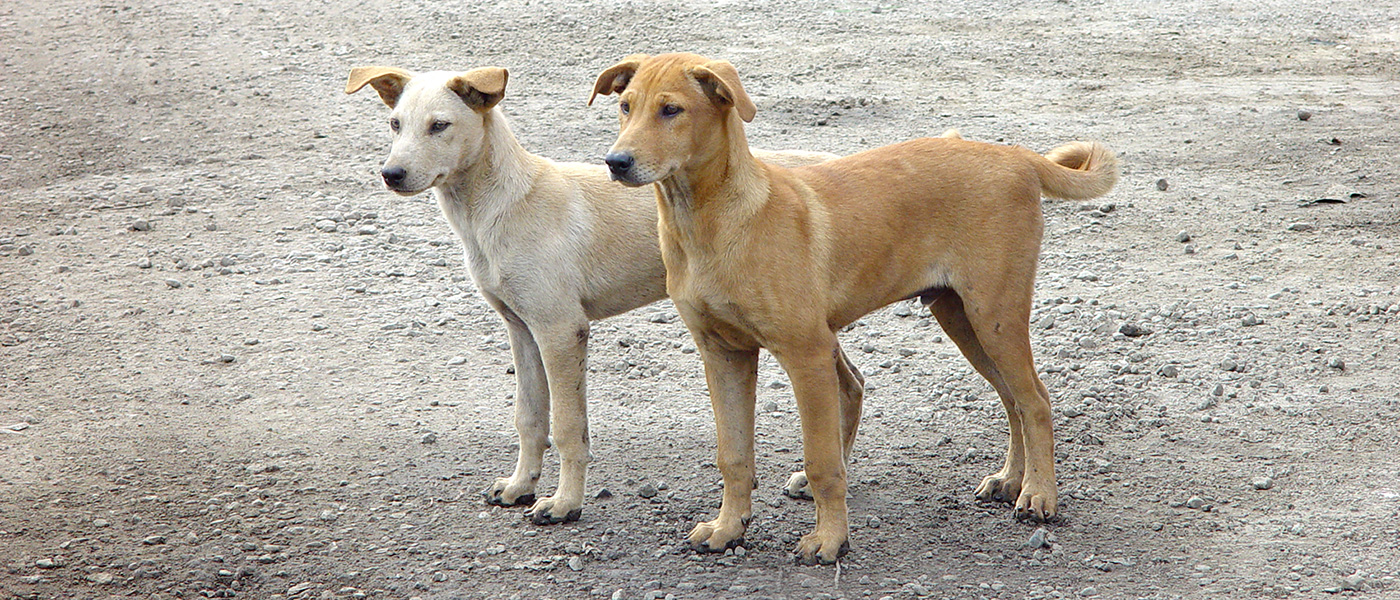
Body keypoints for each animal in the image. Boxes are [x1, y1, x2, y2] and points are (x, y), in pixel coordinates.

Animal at [347, 66, 840, 523]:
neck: (502, 205)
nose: (391, 175)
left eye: (440, 125)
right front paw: (520, 485)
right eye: (395, 124)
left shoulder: (561, 331)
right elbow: (529, 417)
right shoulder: (521, 330)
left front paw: (564, 503)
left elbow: (568, 428)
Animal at [590, 51, 1114, 562]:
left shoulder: (806, 354)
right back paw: (1010, 480)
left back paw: (1039, 495)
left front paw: (829, 540)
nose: (616, 162)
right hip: (960, 316)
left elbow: (823, 461)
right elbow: (733, 455)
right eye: (626, 107)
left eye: (671, 110)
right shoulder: (722, 354)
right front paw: (727, 528)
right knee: (1012, 400)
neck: (710, 222)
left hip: (995, 313)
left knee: (1035, 400)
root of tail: (1016, 155)